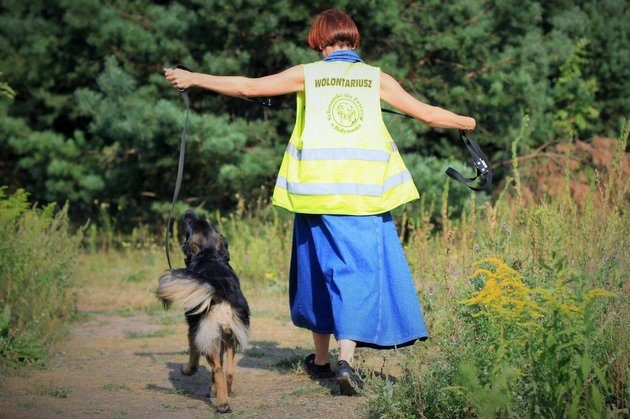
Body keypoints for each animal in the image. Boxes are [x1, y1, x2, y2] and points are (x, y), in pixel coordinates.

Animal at [157, 212, 251, 416]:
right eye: (206, 223)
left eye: (189, 226)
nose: (188, 213)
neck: (209, 255)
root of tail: (219, 289)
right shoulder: (221, 335)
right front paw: (213, 389)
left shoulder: (194, 330)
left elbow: (193, 356)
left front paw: (187, 370)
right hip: (230, 335)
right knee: (228, 371)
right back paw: (225, 392)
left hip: (205, 332)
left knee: (217, 369)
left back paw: (223, 404)